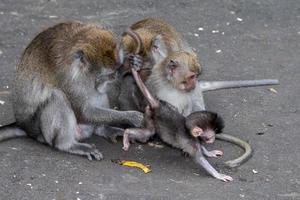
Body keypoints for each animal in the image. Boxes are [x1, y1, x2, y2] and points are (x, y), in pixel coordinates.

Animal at [0, 21, 144, 159]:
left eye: (115, 70)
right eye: (107, 75)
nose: (113, 77)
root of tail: (23, 126)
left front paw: (133, 63)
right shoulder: (68, 77)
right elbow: (84, 112)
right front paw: (130, 116)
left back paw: (102, 129)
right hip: (42, 133)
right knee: (57, 96)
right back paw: (67, 145)